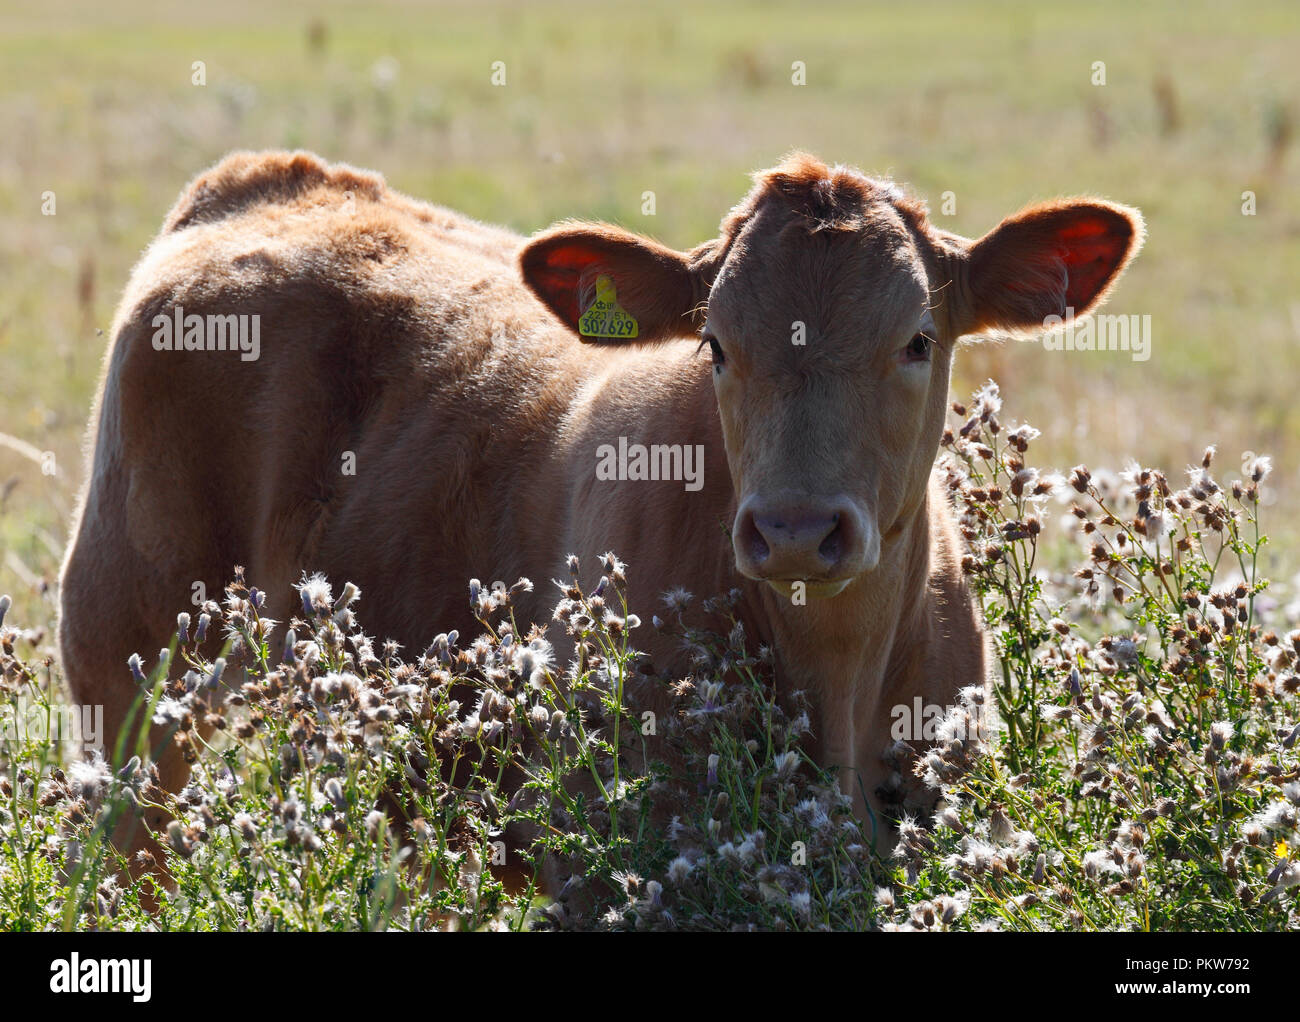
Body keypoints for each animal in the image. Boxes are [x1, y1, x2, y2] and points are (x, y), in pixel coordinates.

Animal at [55, 149, 1144, 868]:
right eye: (714, 344)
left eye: (917, 338)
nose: (795, 529)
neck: (836, 672)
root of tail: (267, 182)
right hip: (132, 671)